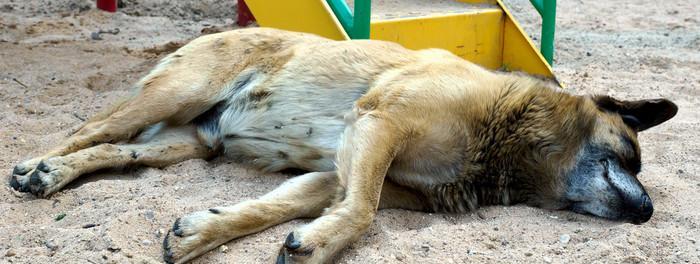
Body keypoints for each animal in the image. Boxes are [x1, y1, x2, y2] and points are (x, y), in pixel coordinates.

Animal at [9, 27, 680, 262]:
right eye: (631, 156)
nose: (649, 212)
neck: (505, 137)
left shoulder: (335, 171)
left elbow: (277, 207)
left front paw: (203, 232)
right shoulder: (379, 125)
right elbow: (361, 213)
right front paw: (320, 247)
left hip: (185, 146)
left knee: (113, 153)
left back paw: (51, 174)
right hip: (174, 93)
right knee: (84, 131)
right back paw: (36, 168)